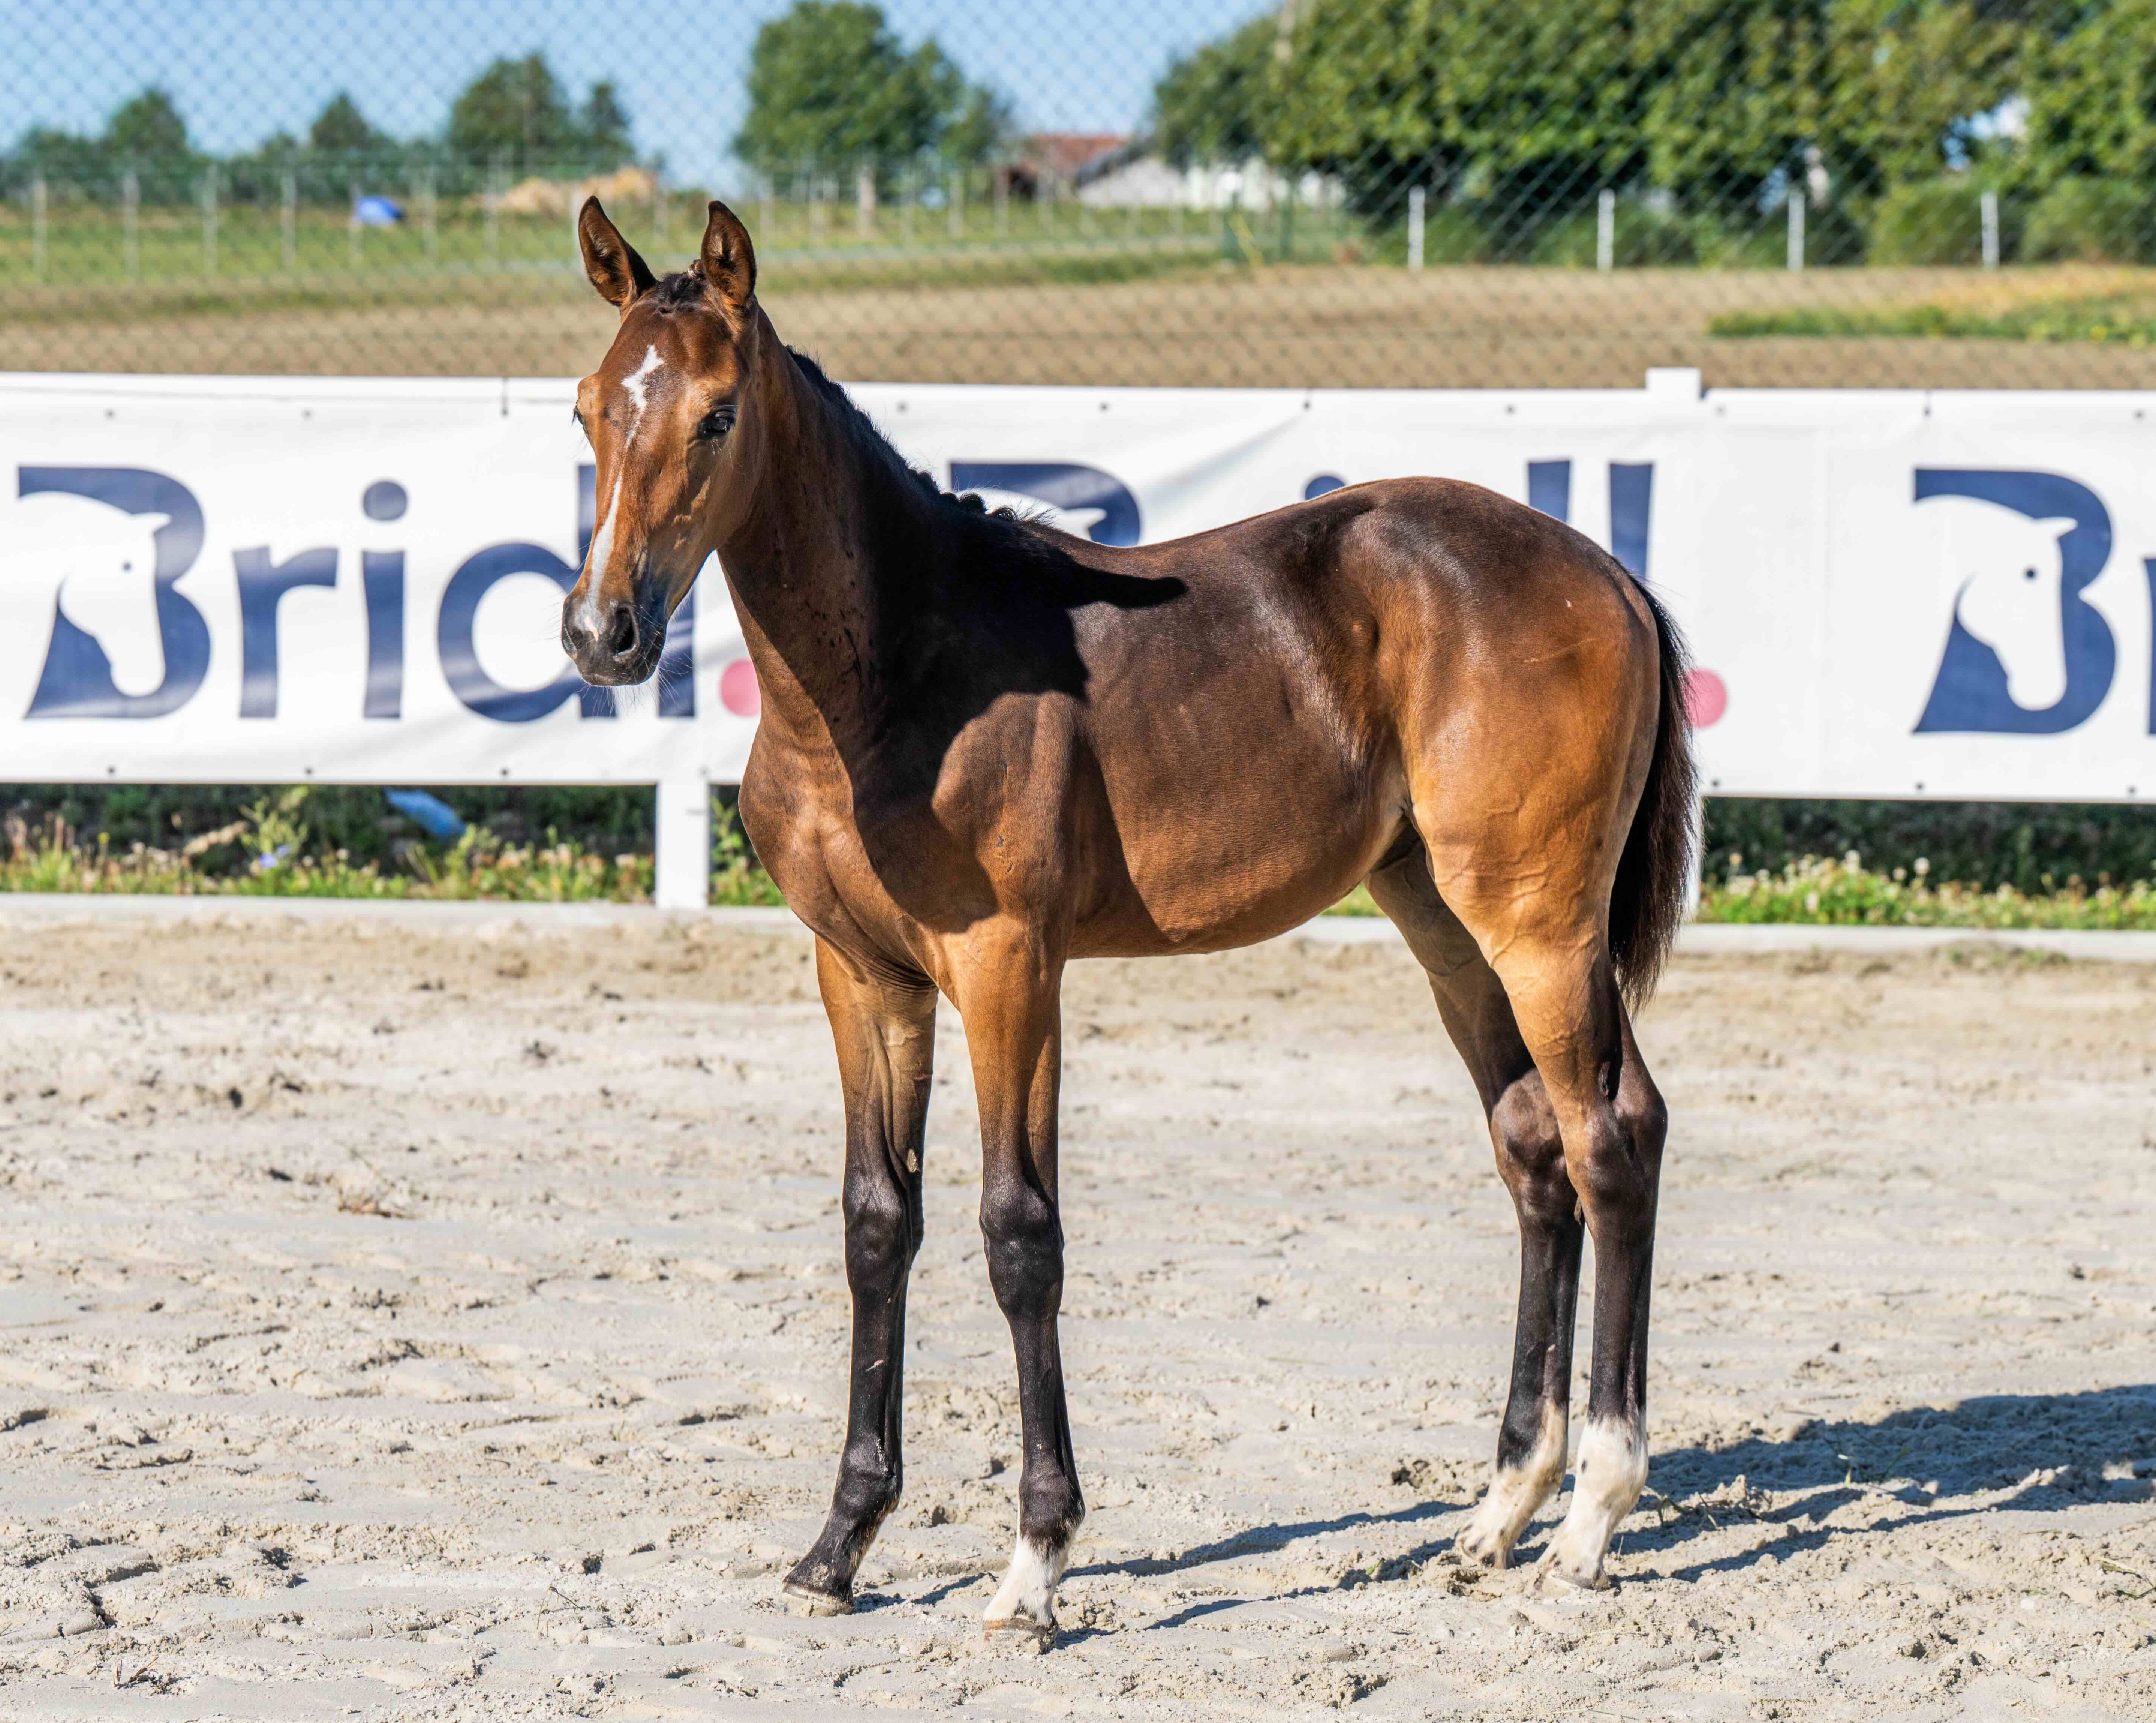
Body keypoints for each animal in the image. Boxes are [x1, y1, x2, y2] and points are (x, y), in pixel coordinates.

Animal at [561, 198, 1696, 1641]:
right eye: (588, 406)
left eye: (714, 414)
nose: (602, 631)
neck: (894, 677)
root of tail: (1604, 569)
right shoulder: (863, 974)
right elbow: (878, 1223)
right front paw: (838, 1546)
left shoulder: (1009, 967)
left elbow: (1018, 1232)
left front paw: (1037, 1561)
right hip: (1446, 924)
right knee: (1536, 1149)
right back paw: (1498, 1512)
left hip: (1541, 925)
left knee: (1613, 1140)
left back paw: (1592, 1520)